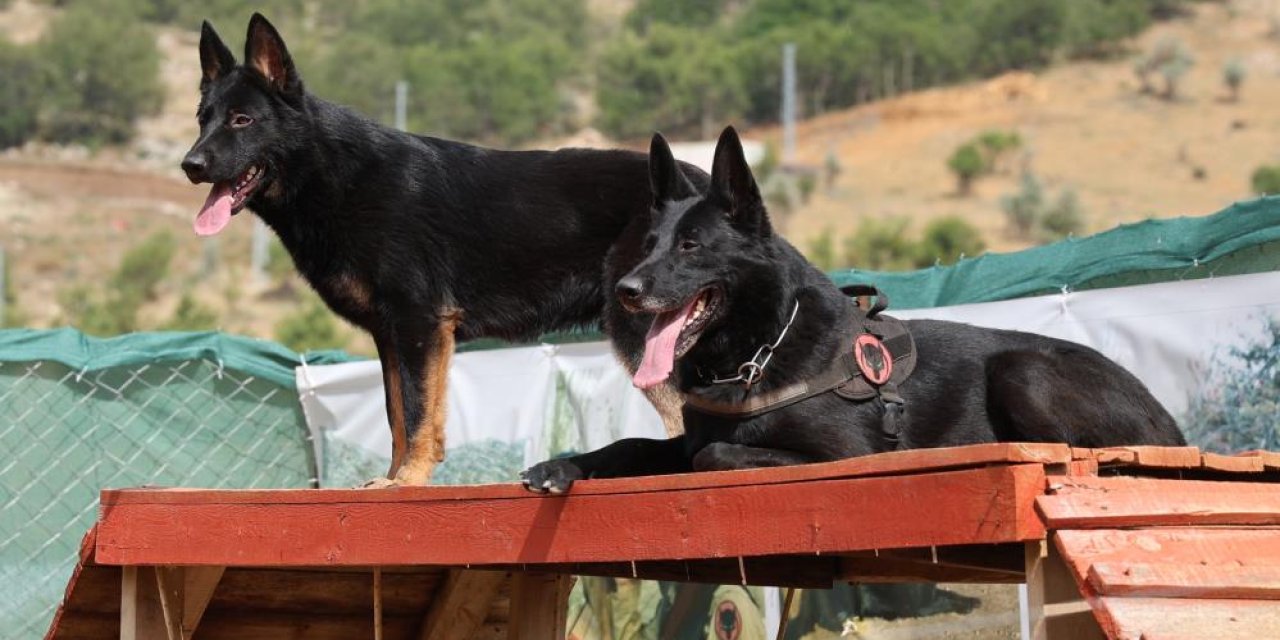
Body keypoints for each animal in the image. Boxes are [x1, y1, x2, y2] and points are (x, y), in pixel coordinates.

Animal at [179, 13, 701, 483]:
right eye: (203, 120)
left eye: (242, 120)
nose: (190, 165)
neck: (336, 176)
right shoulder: (391, 335)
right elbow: (396, 416)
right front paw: (392, 480)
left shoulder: (419, 324)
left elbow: (416, 412)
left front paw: (409, 480)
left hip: (641, 340)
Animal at [524, 126, 1182, 494]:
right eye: (648, 245)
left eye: (690, 246)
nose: (626, 290)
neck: (758, 352)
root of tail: (1169, 422)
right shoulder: (681, 438)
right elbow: (633, 445)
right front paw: (561, 467)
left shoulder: (847, 456)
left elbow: (715, 453)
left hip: (1023, 368)